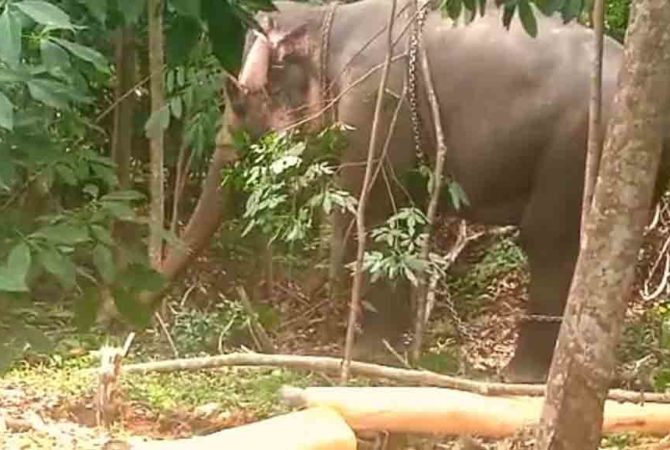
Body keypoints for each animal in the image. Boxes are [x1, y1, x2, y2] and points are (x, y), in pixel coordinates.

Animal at [216, 0, 670, 382]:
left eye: (240, 96)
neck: (323, 15)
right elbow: (402, 216)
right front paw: (391, 353)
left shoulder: (372, 103)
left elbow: (371, 211)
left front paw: (366, 355)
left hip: (576, 147)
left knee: (549, 242)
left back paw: (520, 377)